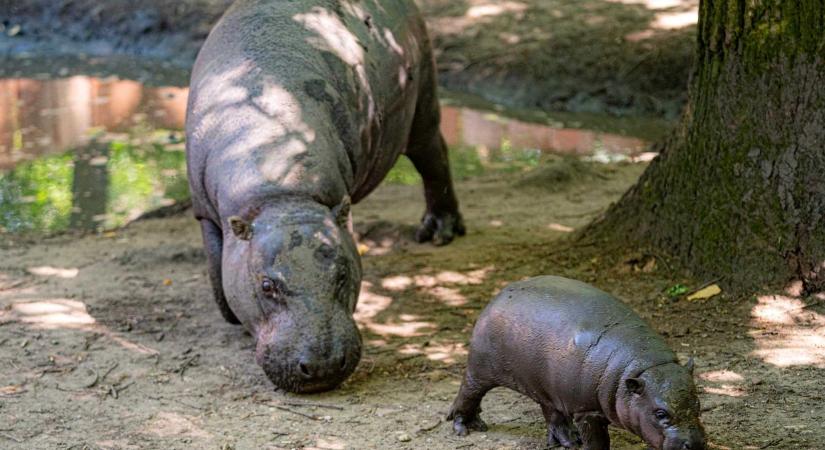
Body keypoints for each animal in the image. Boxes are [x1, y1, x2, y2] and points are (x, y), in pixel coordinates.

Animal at [186, 0, 464, 394]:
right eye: (267, 285)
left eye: (343, 274)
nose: (322, 366)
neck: (283, 193)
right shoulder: (207, 214)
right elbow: (215, 263)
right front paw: (229, 314)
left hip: (423, 105)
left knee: (434, 158)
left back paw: (439, 232)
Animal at [448, 276, 704, 448]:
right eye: (660, 413)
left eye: (698, 403)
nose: (695, 444)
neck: (641, 368)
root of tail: (499, 295)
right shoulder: (586, 410)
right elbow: (598, 442)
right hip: (481, 368)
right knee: (469, 392)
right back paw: (465, 427)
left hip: (544, 385)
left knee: (552, 413)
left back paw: (568, 441)